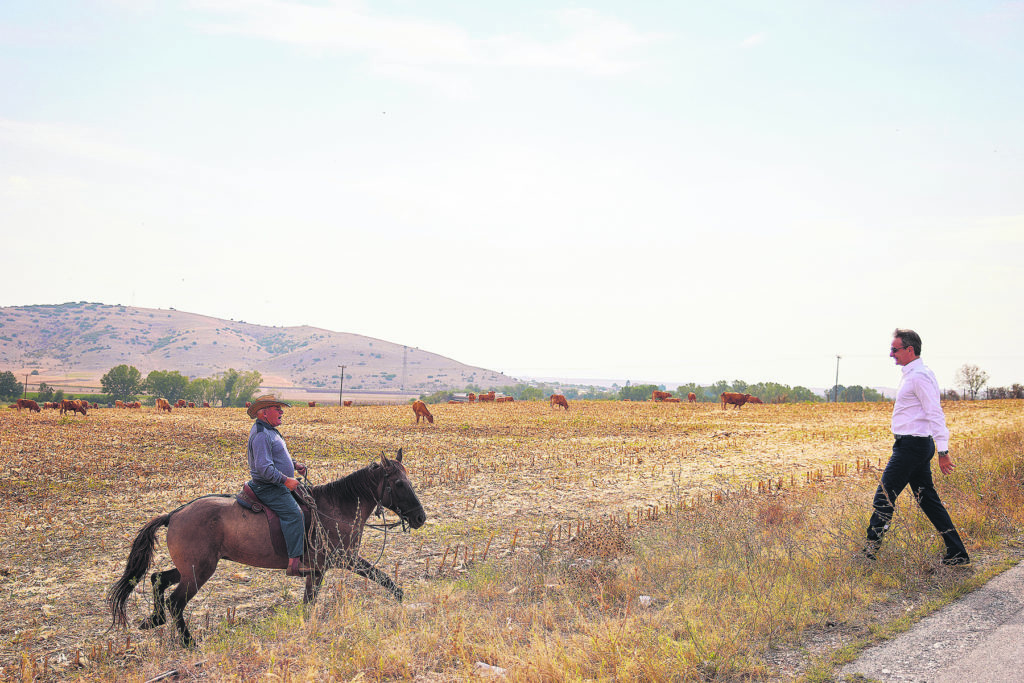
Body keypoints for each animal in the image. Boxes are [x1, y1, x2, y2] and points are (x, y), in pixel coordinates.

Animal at [110, 450, 430, 651]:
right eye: (399, 483)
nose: (420, 518)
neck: (336, 507)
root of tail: (175, 514)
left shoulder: (318, 570)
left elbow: (309, 603)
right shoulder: (345, 560)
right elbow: (384, 578)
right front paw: (402, 602)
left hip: (189, 569)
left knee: (157, 579)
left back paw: (154, 620)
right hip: (198, 572)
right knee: (176, 602)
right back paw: (189, 643)